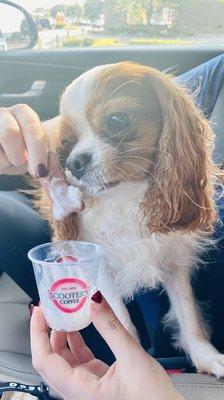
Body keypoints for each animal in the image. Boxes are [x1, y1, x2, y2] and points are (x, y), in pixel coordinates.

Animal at [36, 61, 224, 376]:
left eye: (117, 120)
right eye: (66, 143)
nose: (74, 162)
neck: (127, 197)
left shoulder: (174, 262)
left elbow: (187, 314)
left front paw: (205, 356)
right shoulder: (102, 270)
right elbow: (122, 321)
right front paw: (131, 360)